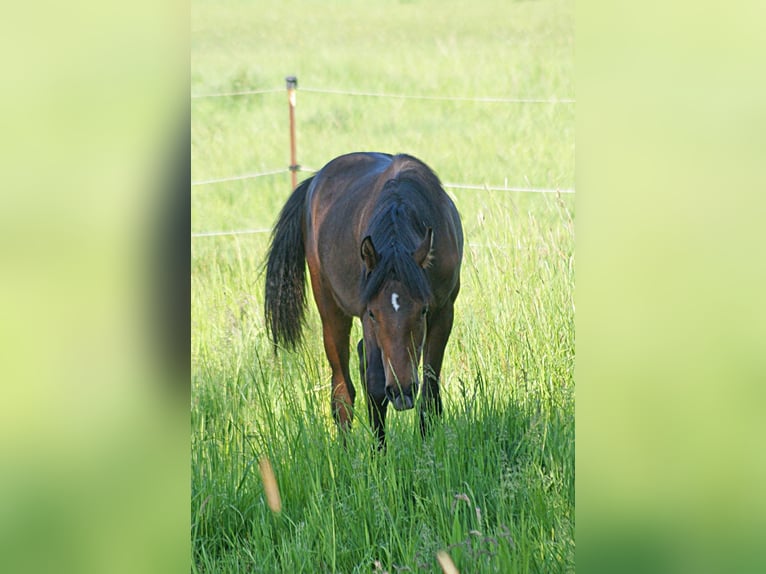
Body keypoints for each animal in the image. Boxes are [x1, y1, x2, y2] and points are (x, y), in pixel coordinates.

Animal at [264, 153, 464, 450]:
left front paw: (427, 448)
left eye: (423, 310)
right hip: (330, 311)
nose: (402, 391)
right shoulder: (367, 318)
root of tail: (315, 181)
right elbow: (376, 385)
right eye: (373, 314)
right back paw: (346, 451)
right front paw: (379, 454)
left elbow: (429, 390)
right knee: (342, 387)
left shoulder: (443, 312)